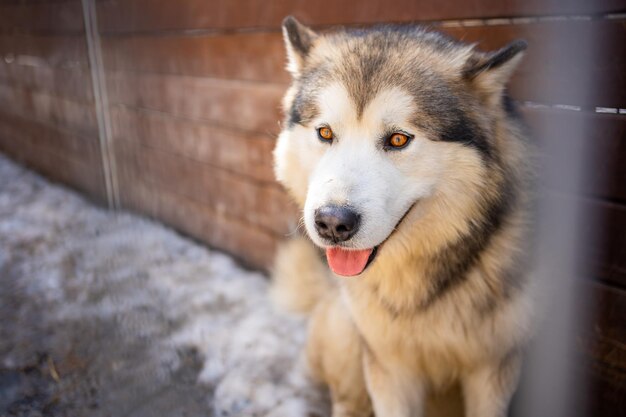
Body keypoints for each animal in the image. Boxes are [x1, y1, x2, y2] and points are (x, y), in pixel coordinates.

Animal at [270, 15, 532, 416]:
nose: (332, 223)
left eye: (398, 139)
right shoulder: (389, 368)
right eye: (325, 132)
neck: (417, 290)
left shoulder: (493, 368)